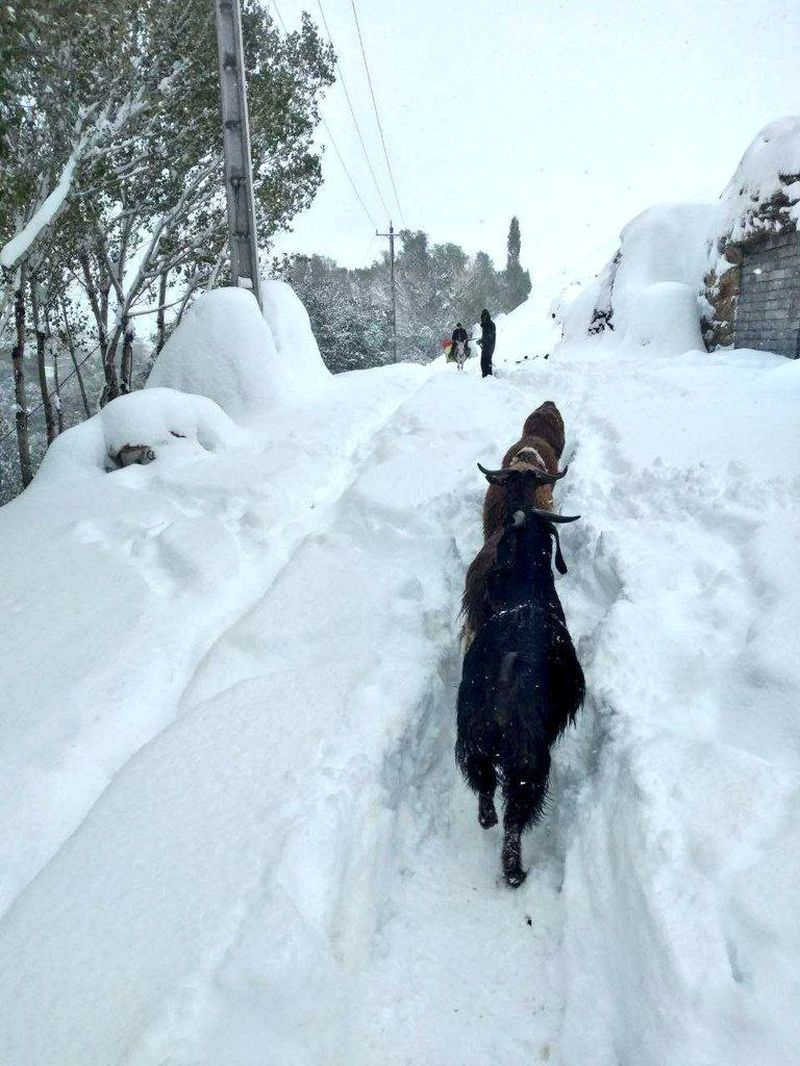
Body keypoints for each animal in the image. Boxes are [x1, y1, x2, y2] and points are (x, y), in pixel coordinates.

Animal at [456, 462, 584, 886]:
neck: (523, 590)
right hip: (529, 761)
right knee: (515, 817)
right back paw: (514, 872)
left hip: (472, 740)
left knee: (483, 790)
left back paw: (486, 819)